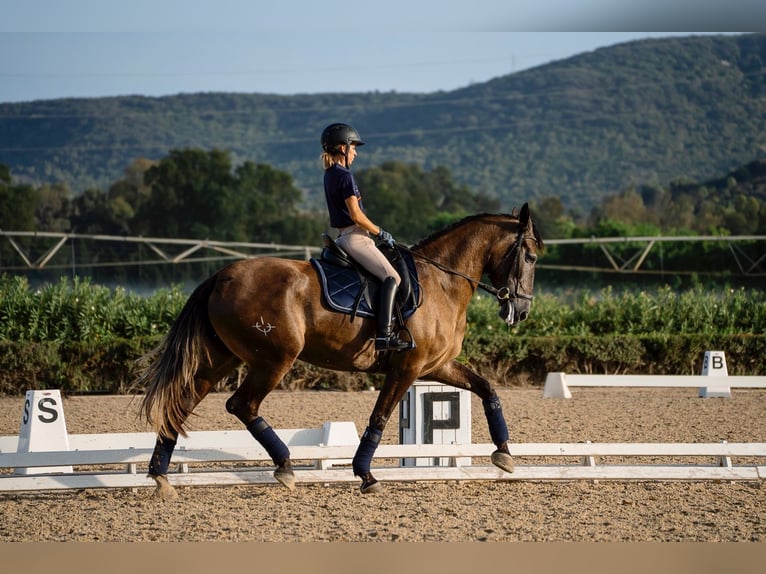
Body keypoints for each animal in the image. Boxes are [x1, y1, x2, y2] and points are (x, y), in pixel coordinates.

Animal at [138, 205, 544, 498]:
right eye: (531, 257)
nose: (521, 311)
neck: (442, 280)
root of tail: (221, 275)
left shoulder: (434, 366)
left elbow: (486, 387)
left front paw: (504, 454)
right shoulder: (407, 368)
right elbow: (379, 418)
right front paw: (365, 475)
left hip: (220, 358)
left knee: (181, 403)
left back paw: (161, 477)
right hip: (273, 359)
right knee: (242, 404)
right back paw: (284, 466)